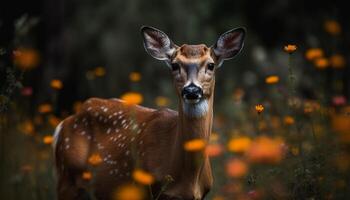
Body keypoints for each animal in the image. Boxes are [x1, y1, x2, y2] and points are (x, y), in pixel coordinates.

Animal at [54, 25, 246, 199]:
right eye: (175, 65)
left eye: (211, 65)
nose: (191, 90)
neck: (189, 179)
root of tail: (63, 124)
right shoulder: (147, 188)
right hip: (67, 178)